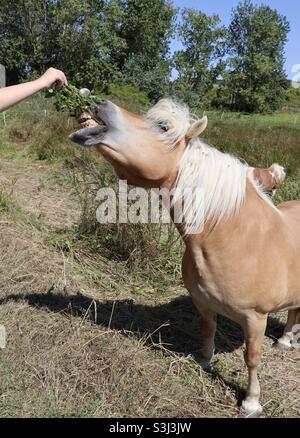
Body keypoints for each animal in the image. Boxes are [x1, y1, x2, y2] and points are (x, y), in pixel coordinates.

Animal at [71, 99, 300, 418]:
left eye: (163, 126)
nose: (99, 103)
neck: (239, 238)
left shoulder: (255, 318)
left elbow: (252, 358)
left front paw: (251, 402)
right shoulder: (203, 303)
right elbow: (208, 332)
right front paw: (203, 361)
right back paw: (285, 340)